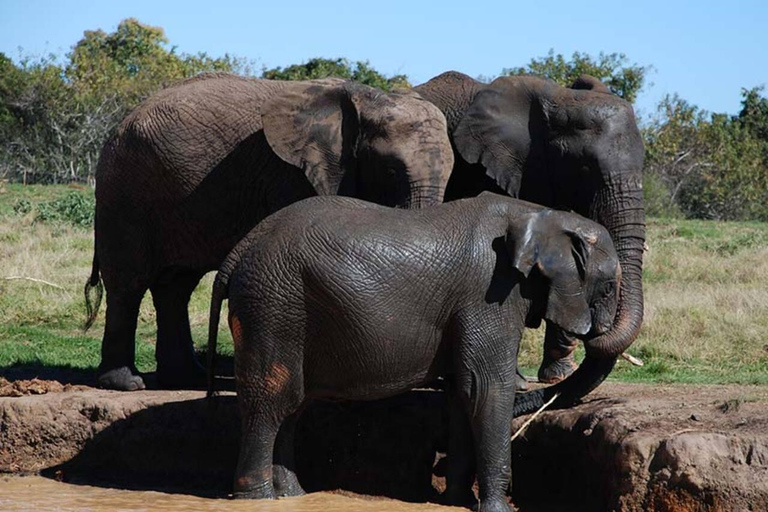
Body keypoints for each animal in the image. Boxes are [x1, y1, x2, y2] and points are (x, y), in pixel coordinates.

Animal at [84, 73, 456, 392]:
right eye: (391, 170)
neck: (366, 98)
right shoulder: (291, 172)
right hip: (125, 192)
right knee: (128, 283)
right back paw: (126, 383)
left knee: (176, 285)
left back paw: (186, 378)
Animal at [206, 192, 624, 512]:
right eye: (607, 287)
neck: (538, 213)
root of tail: (239, 249)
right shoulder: (490, 295)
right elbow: (487, 388)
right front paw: (495, 509)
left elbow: (462, 392)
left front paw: (456, 501)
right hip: (273, 303)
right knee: (273, 399)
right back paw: (258, 499)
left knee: (292, 404)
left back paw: (295, 495)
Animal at [412, 71, 644, 408]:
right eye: (584, 166)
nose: (597, 333)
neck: (559, 99)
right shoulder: (488, 168)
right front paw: (522, 380)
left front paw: (558, 373)